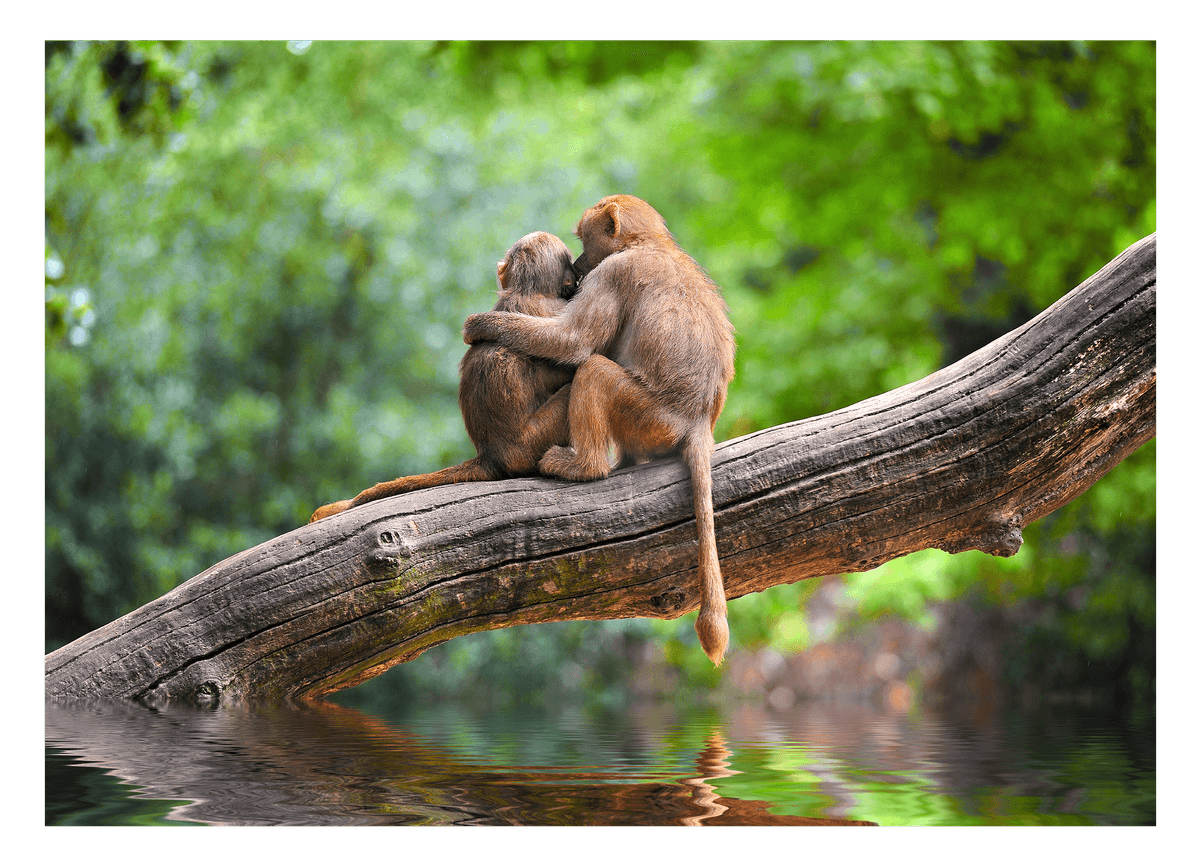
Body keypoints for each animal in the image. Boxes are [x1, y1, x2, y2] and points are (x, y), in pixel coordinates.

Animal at [462, 195, 736, 665]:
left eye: (582, 240)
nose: (577, 266)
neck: (650, 243)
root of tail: (699, 420)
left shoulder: (613, 273)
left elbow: (575, 345)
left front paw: (481, 326)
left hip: (650, 417)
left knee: (593, 370)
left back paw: (584, 467)